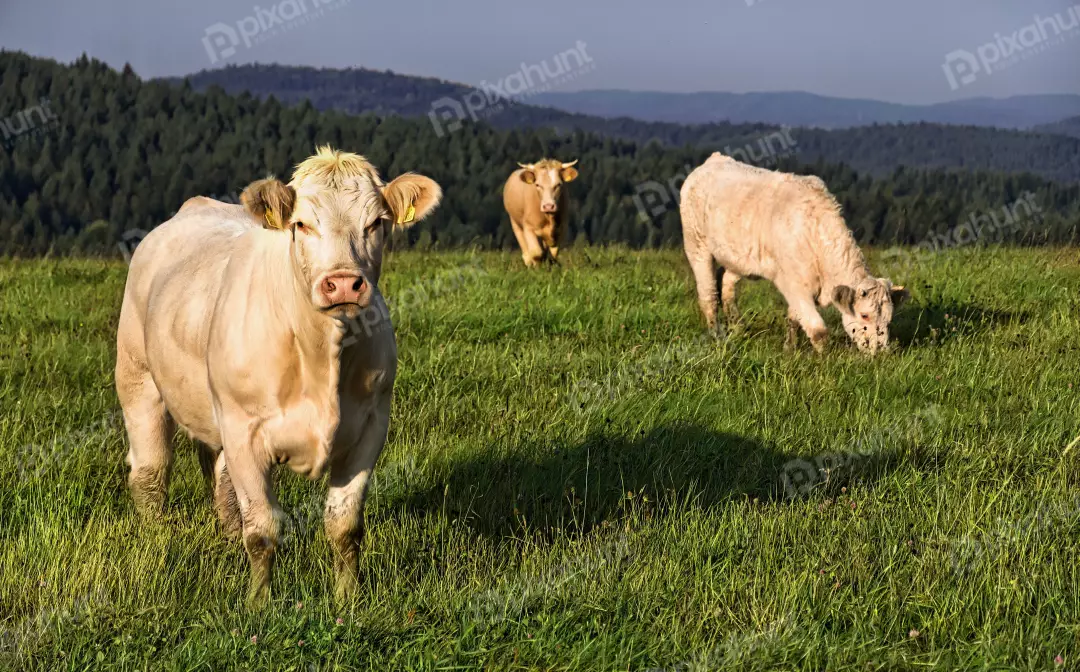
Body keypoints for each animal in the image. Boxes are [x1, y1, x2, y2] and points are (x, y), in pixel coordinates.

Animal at [115, 146, 442, 605]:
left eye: (376, 222)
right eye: (301, 224)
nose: (344, 283)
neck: (321, 355)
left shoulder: (371, 426)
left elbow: (344, 526)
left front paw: (348, 598)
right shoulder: (244, 431)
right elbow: (263, 530)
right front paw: (259, 603)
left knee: (220, 480)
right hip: (137, 377)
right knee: (151, 472)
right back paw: (155, 542)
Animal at [680, 153, 908, 355]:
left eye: (889, 320)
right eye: (865, 315)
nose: (880, 351)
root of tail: (714, 159)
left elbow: (794, 319)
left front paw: (790, 349)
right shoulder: (793, 284)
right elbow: (817, 330)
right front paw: (824, 360)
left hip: (737, 257)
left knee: (726, 284)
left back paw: (737, 327)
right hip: (696, 245)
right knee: (708, 294)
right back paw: (716, 335)